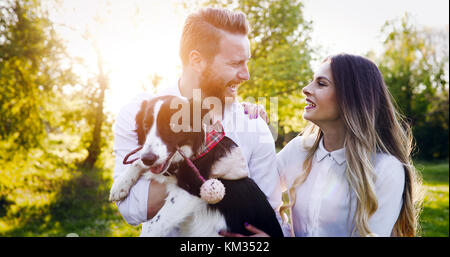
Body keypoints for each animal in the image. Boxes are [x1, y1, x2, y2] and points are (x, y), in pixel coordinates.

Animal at [109, 94, 284, 236]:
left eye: (173, 125)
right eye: (145, 125)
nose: (149, 159)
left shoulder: (193, 189)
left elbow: (154, 225)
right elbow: (137, 161)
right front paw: (120, 185)